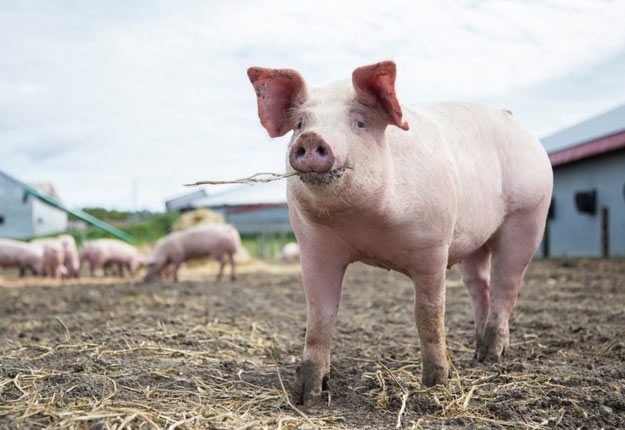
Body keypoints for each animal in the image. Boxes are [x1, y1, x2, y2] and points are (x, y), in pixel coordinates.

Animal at [247, 59, 552, 404]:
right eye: (300, 124)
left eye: (360, 122)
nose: (311, 138)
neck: (365, 226)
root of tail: (516, 122)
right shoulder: (313, 246)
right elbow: (319, 316)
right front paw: (307, 396)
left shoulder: (433, 244)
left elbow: (428, 314)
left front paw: (436, 384)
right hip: (476, 239)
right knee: (480, 286)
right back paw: (475, 350)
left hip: (528, 214)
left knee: (507, 285)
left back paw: (491, 356)